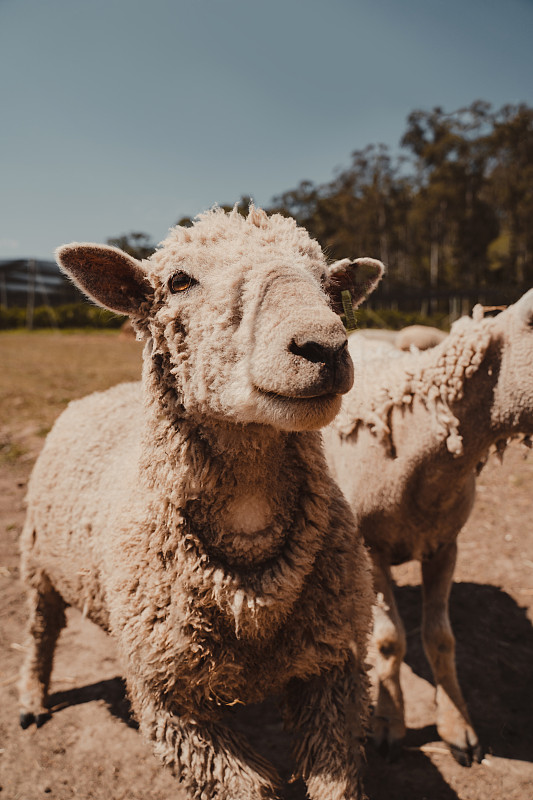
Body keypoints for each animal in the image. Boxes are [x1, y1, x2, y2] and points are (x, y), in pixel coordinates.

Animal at [17, 206, 382, 800]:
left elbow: (337, 779)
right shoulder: (169, 703)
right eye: (178, 281)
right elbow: (251, 787)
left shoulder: (335, 671)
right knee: (39, 630)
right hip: (35, 561)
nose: (324, 347)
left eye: (330, 285)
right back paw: (31, 699)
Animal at [320, 290, 532, 764]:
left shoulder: (445, 545)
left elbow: (440, 638)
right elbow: (389, 640)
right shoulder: (371, 547)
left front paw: (458, 728)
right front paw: (388, 721)